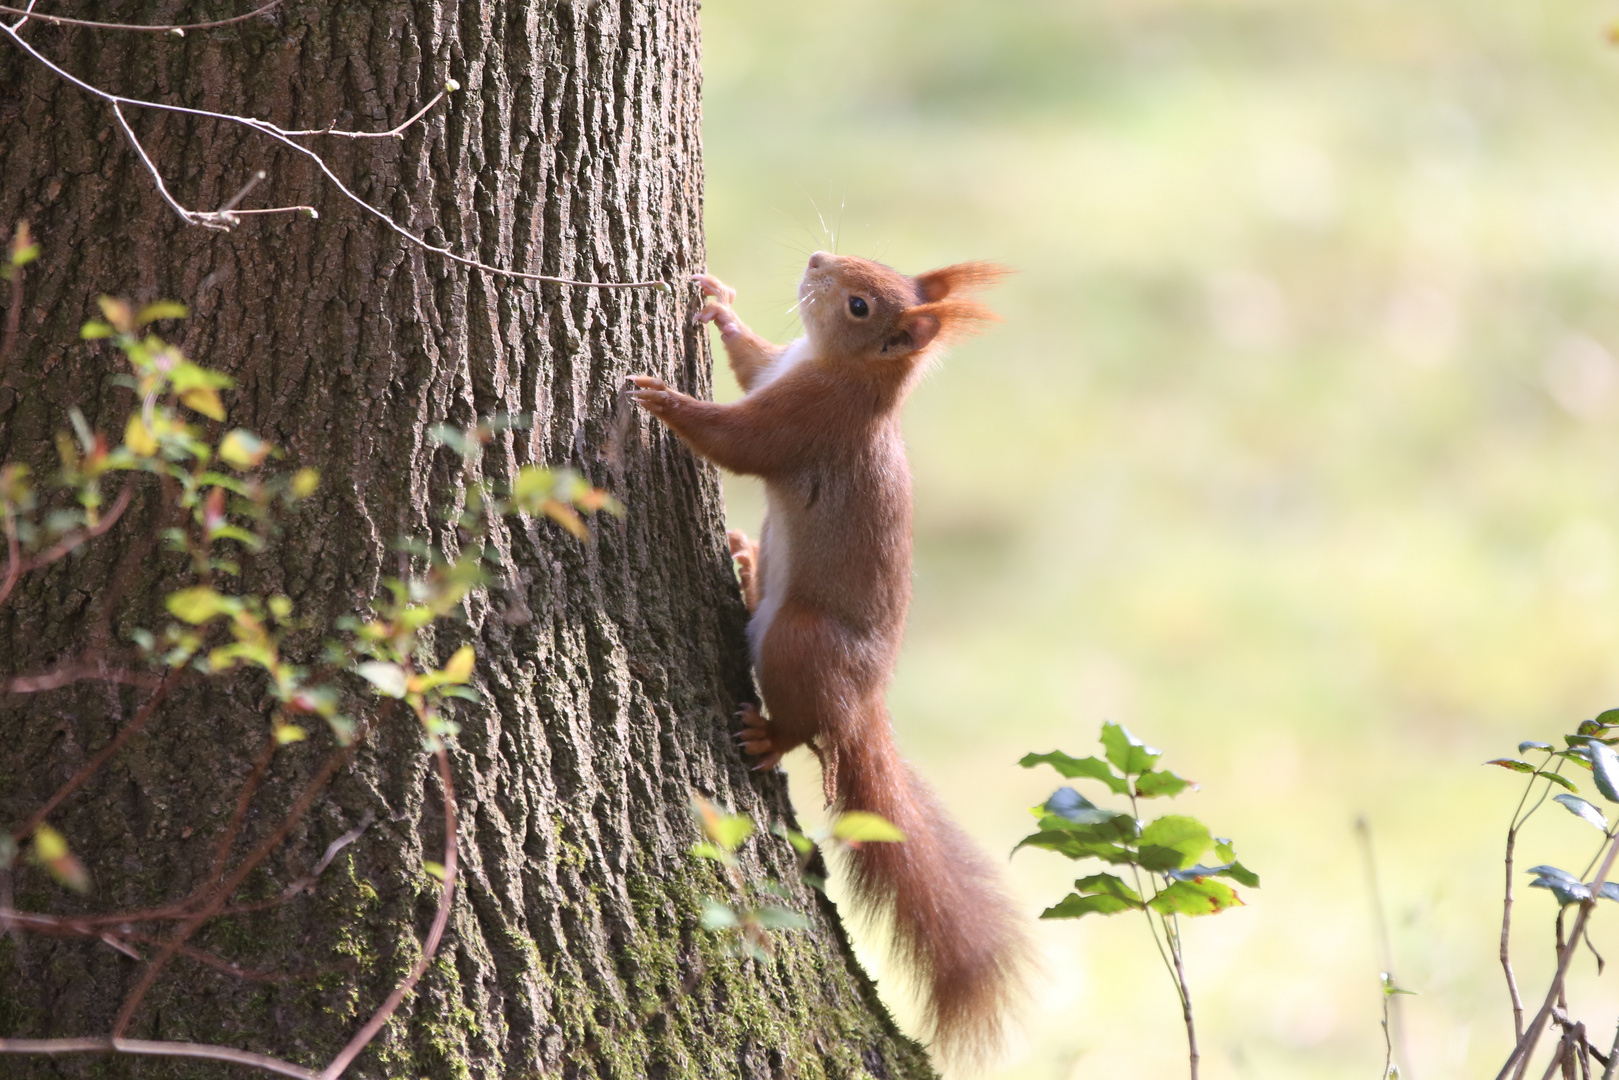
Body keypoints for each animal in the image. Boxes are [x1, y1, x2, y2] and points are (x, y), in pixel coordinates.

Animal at [628, 250, 1023, 1062]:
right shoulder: (779, 371)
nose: (816, 259)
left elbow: (737, 442)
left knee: (804, 727)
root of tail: (863, 702)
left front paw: (664, 400)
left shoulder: (804, 422)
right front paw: (718, 304)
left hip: (799, 641)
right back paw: (746, 561)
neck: (840, 372)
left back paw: (765, 734)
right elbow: (751, 361)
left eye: (860, 305)